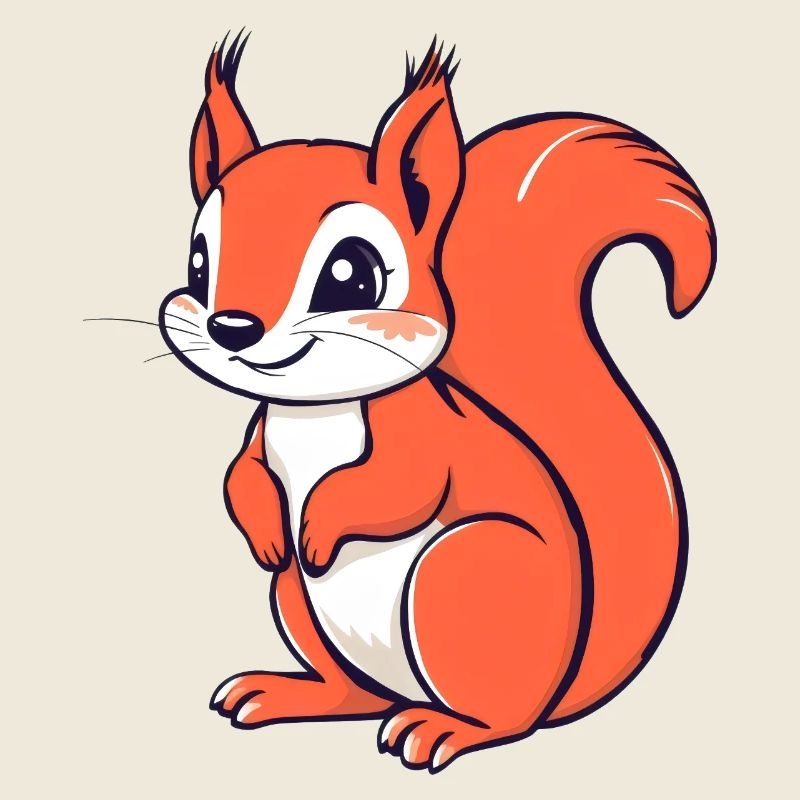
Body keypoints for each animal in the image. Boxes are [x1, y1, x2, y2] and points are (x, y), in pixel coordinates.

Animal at [159, 33, 715, 772]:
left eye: (350, 272)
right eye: (198, 262)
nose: (232, 327)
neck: (314, 413)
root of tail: (559, 692)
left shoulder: (425, 437)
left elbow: (399, 488)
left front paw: (316, 529)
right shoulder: (260, 432)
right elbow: (239, 476)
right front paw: (270, 530)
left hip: (465, 572)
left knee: (501, 718)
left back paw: (443, 730)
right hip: (297, 602)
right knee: (353, 690)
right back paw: (287, 691)